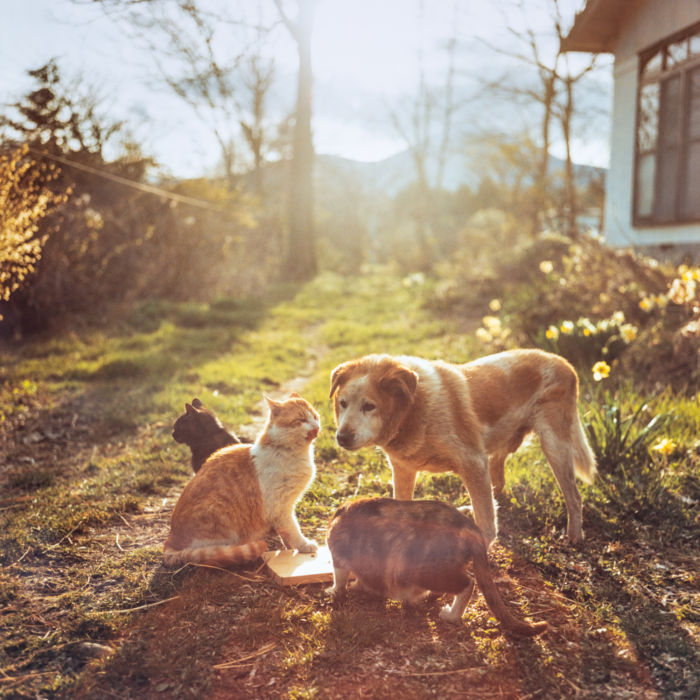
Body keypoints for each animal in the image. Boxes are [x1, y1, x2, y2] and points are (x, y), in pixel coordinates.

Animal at [164, 394, 320, 568]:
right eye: (301, 419)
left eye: (315, 416)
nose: (316, 426)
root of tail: (170, 539)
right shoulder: (280, 509)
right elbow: (293, 529)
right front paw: (304, 545)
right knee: (214, 555)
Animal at [326, 494, 548, 636]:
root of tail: (470, 526)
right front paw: (359, 586)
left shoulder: (339, 553)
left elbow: (340, 578)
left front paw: (336, 590)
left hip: (424, 571)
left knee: (468, 583)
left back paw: (451, 615)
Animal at [330, 352, 596, 544]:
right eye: (342, 403)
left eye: (369, 406)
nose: (341, 437)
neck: (414, 409)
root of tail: (564, 363)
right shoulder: (403, 470)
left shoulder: (473, 462)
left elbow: (487, 525)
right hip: (501, 447)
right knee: (497, 484)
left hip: (553, 446)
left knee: (574, 497)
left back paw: (574, 537)